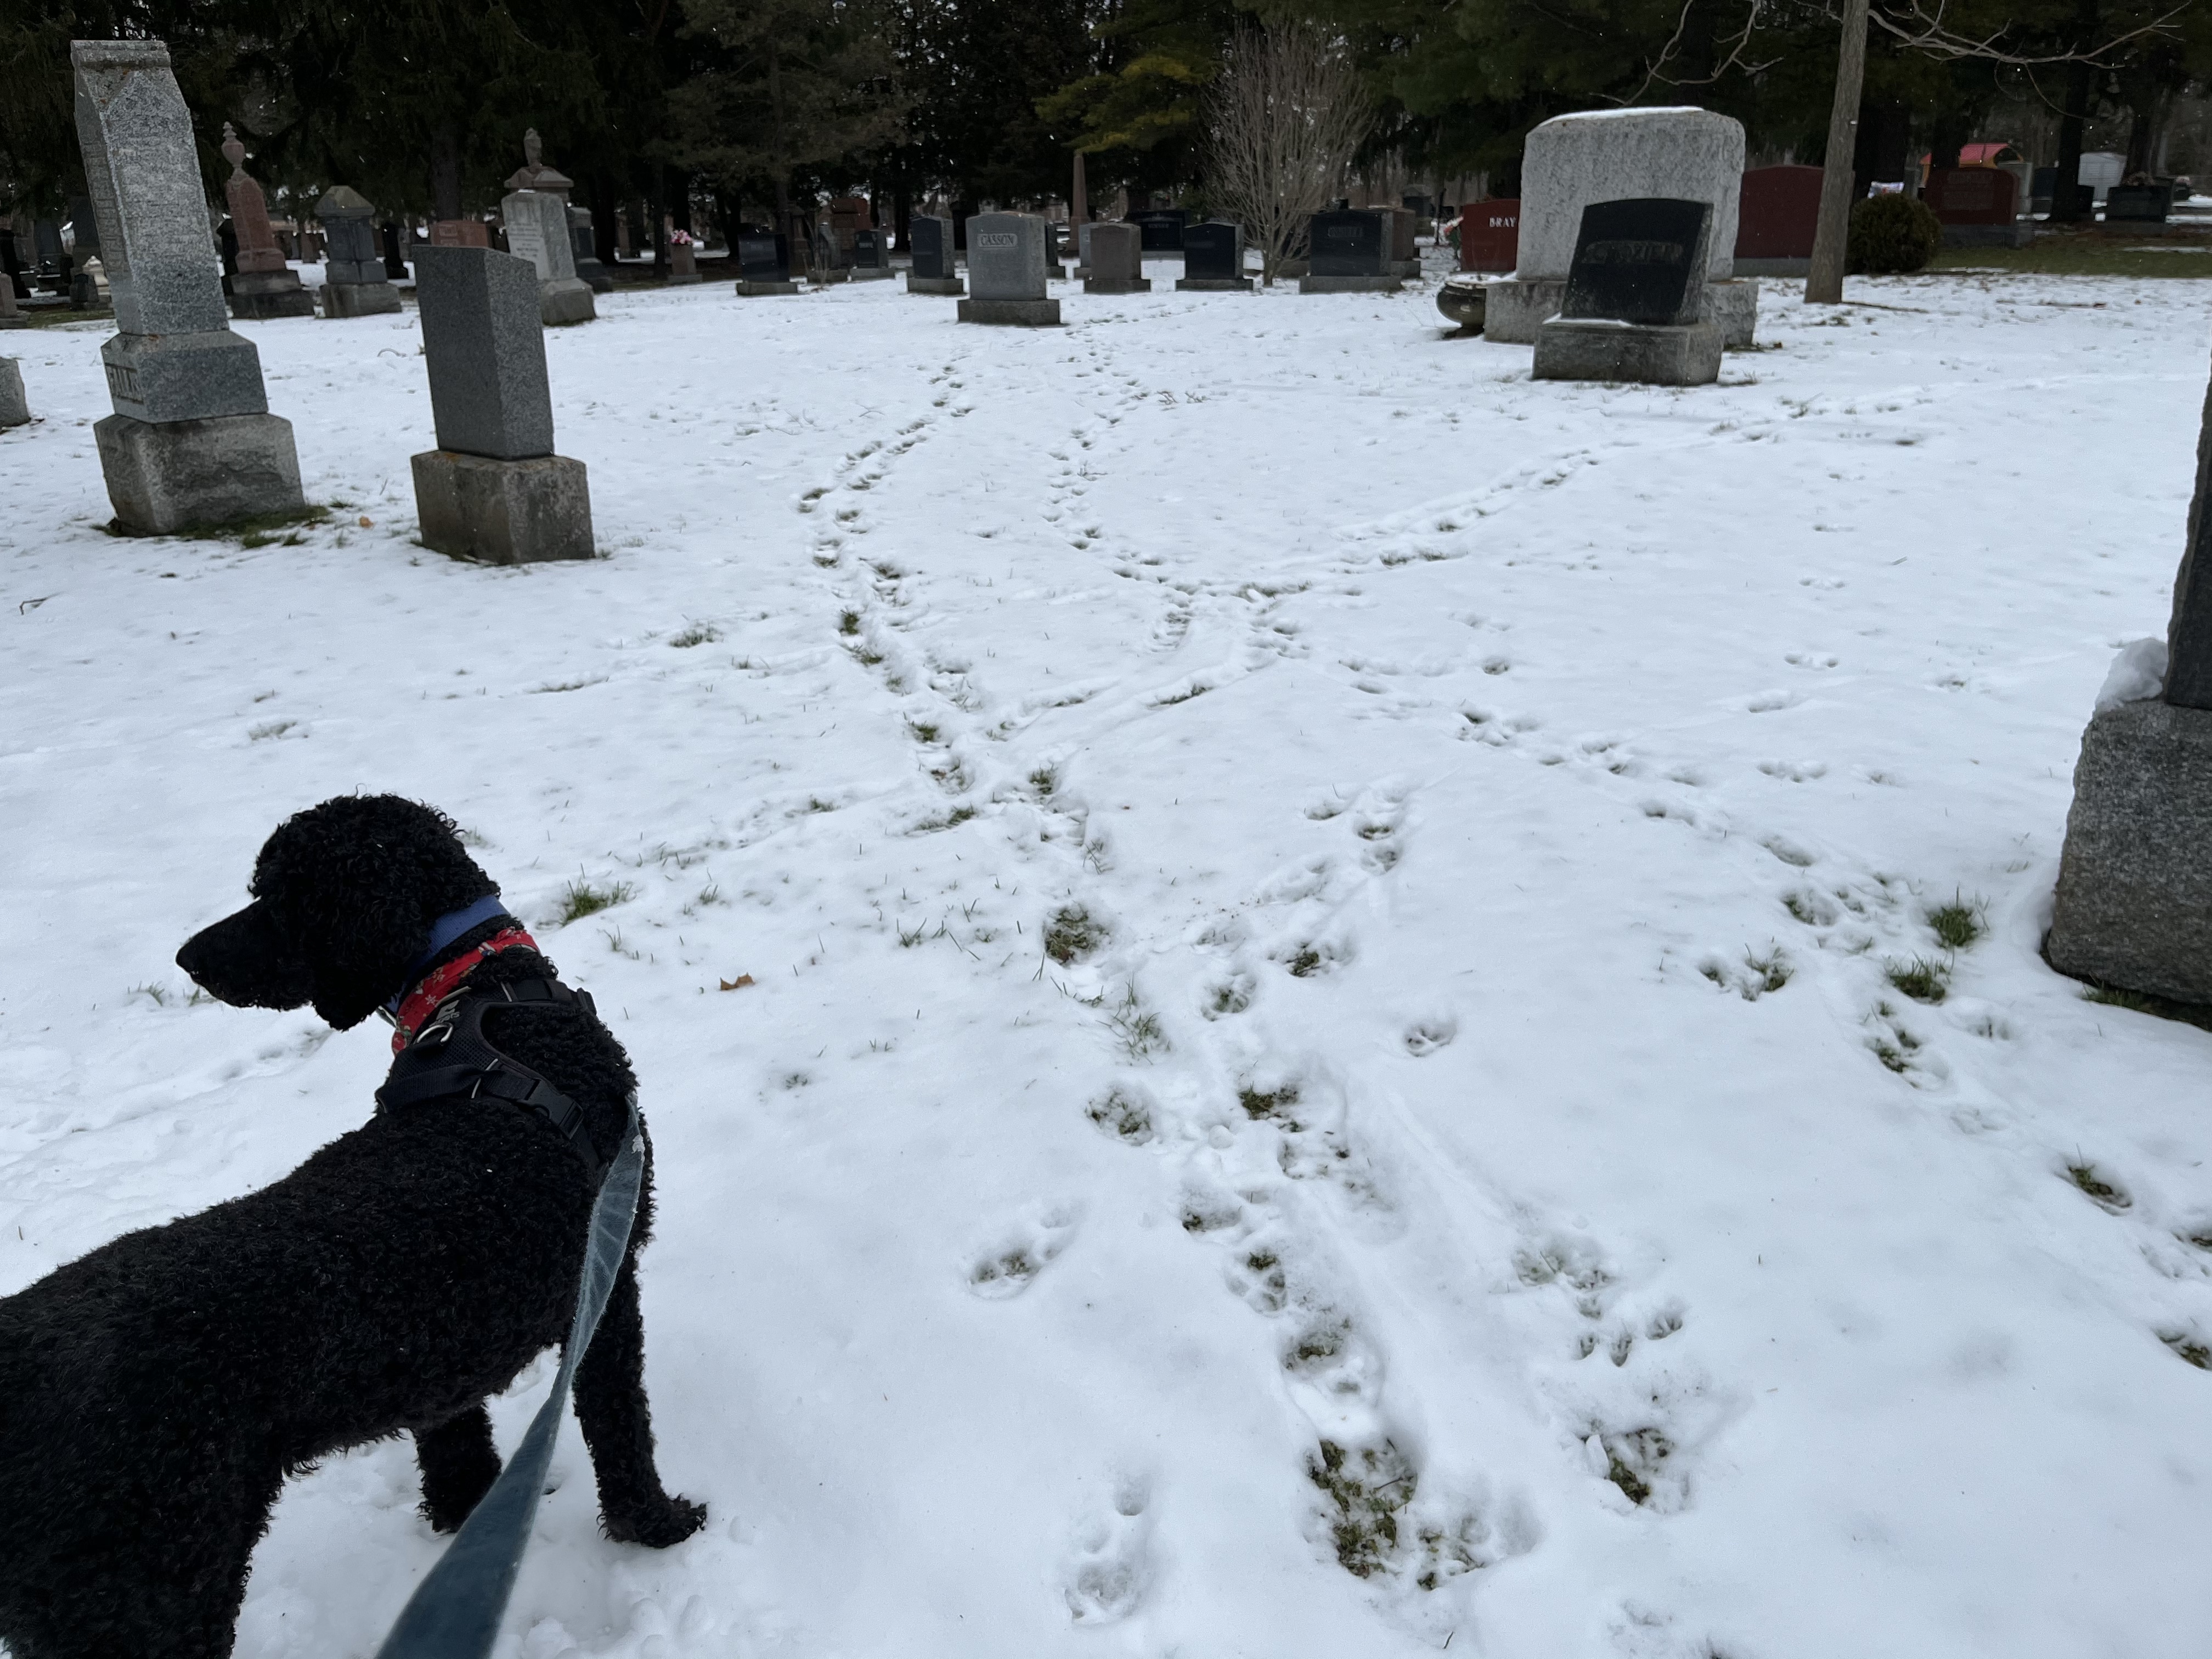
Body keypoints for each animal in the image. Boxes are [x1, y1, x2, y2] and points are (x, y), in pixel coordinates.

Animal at [0, 794, 703, 1659]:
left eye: (282, 897)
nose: (187, 959)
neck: (487, 995)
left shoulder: (448, 1353)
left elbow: (456, 1440)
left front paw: (466, 1513)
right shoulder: (607, 1280)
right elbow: (622, 1429)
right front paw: (660, 1526)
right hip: (146, 1594)